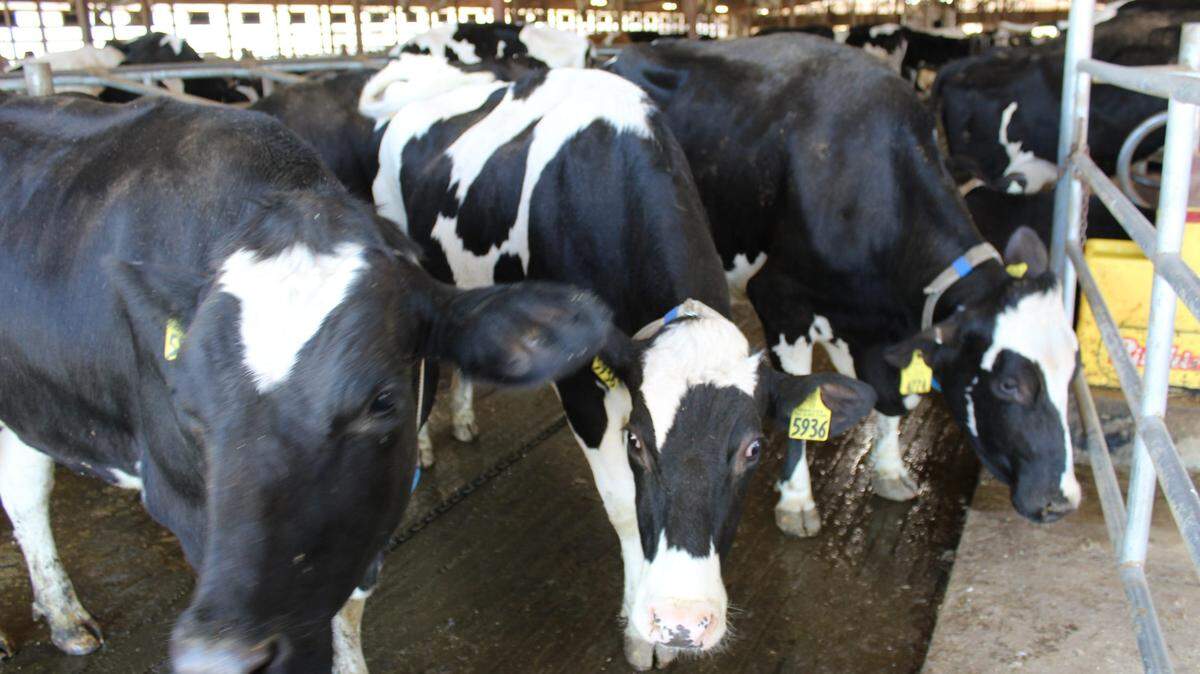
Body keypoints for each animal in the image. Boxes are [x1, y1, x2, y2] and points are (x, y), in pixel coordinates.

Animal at [361, 57, 877, 669]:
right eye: (635, 441)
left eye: (753, 449)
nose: (684, 622)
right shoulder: (581, 386)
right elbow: (626, 506)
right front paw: (640, 632)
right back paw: (423, 443)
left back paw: (463, 418)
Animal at [607, 35, 1084, 540]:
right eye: (1010, 384)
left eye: (1072, 371)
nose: (1060, 500)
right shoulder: (780, 299)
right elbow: (801, 411)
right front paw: (797, 501)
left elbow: (889, 404)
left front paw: (890, 470)